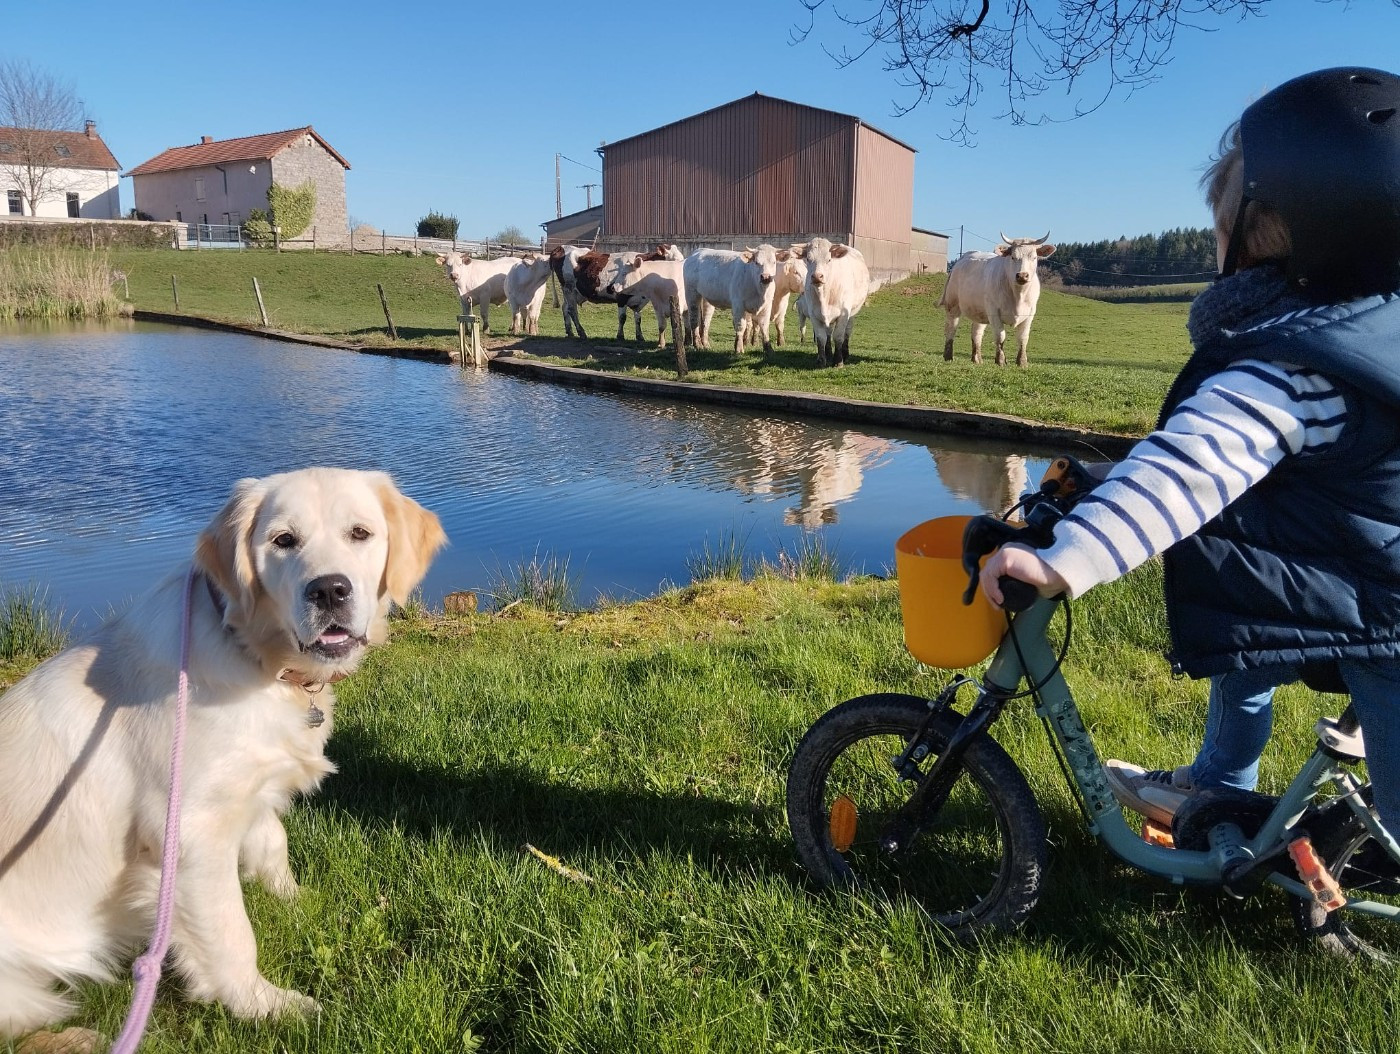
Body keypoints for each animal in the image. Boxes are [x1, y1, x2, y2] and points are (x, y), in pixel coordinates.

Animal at [0, 467, 446, 1043]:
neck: (258, 657)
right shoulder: (187, 833)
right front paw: (266, 1005)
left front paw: (293, 899)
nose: (329, 589)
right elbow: (232, 932)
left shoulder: (247, 786)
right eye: (283, 541)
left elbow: (273, 840)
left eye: (360, 533)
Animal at [549, 244, 684, 341]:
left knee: (565, 308)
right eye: (673, 260)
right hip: (568, 288)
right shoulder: (621, 297)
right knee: (572, 310)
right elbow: (622, 318)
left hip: (573, 292)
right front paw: (620, 336)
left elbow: (638, 318)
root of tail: (561, 247)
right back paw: (581, 333)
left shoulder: (639, 300)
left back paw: (570, 332)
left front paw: (640, 336)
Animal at [793, 237, 870, 368]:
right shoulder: (814, 315)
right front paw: (821, 360)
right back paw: (828, 353)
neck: (824, 295)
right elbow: (821, 338)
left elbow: (838, 336)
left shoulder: (843, 314)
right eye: (808, 259)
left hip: (852, 314)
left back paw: (845, 353)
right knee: (828, 333)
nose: (817, 276)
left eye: (829, 259)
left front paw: (838, 361)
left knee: (847, 333)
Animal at [940, 232, 1056, 367]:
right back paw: (948, 356)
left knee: (976, 333)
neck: (1018, 295)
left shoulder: (1030, 313)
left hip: (980, 311)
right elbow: (1000, 336)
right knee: (951, 328)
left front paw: (1022, 362)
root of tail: (964, 257)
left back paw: (977, 359)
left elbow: (1023, 338)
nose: (1022, 275)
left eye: (1034, 257)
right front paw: (1000, 360)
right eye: (1013, 257)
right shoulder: (994, 311)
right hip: (953, 304)